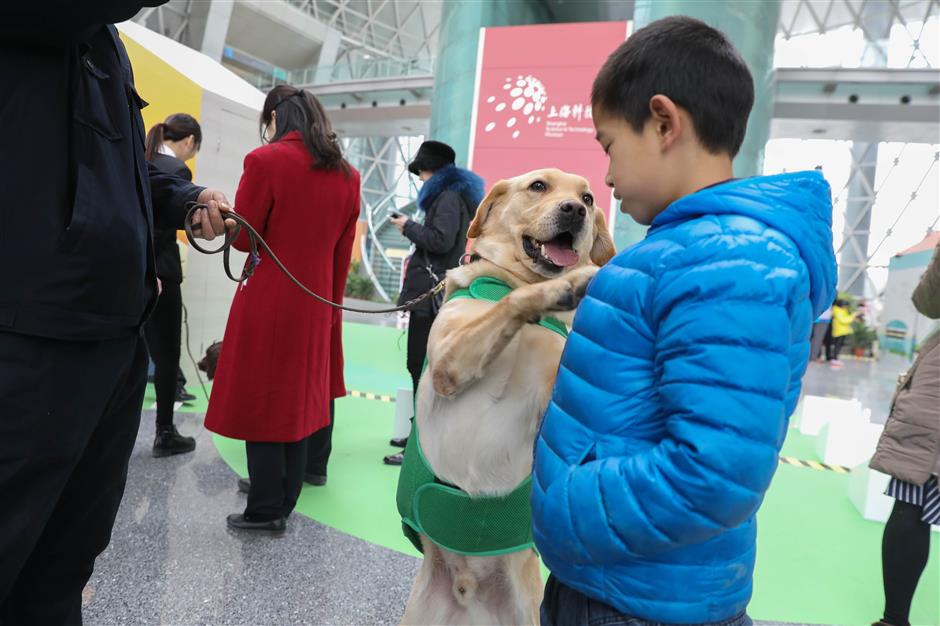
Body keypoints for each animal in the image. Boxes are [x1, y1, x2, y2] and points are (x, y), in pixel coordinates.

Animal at [398, 168, 612, 620]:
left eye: (587, 197)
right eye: (538, 186)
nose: (575, 210)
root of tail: (466, 591)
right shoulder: (449, 362)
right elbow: (513, 303)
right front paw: (565, 287)